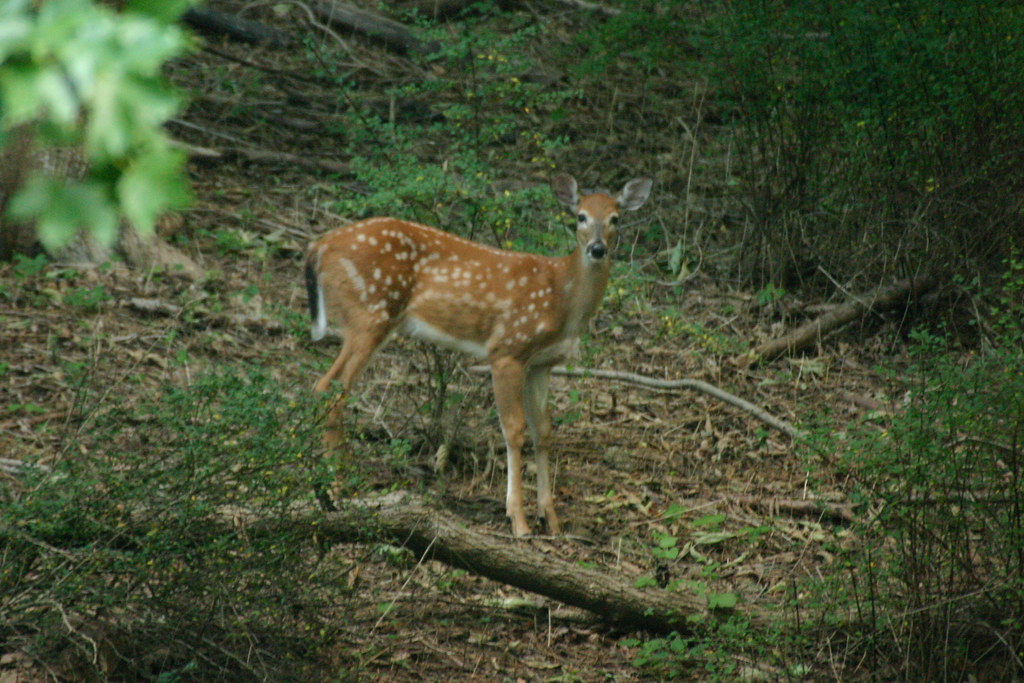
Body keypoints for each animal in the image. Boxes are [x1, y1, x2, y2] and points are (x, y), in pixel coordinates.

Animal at [304, 173, 653, 537]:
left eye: (616, 218)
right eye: (580, 216)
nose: (597, 249)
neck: (563, 299)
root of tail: (319, 246)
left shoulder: (541, 364)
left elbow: (543, 431)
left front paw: (552, 519)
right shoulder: (507, 350)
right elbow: (513, 429)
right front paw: (518, 520)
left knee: (331, 388)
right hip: (369, 312)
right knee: (329, 387)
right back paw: (338, 486)